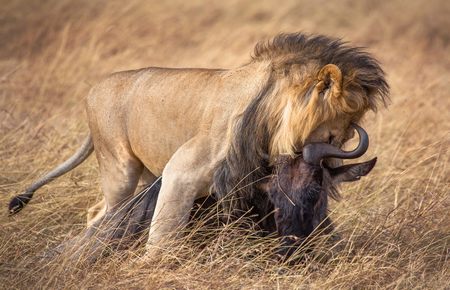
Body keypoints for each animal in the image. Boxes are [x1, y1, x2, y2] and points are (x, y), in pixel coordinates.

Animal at [8, 32, 388, 249]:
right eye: (336, 132)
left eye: (349, 132)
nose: (335, 160)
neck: (267, 115)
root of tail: (92, 91)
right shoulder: (180, 174)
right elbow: (162, 238)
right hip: (119, 170)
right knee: (104, 214)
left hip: (145, 174)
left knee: (100, 212)